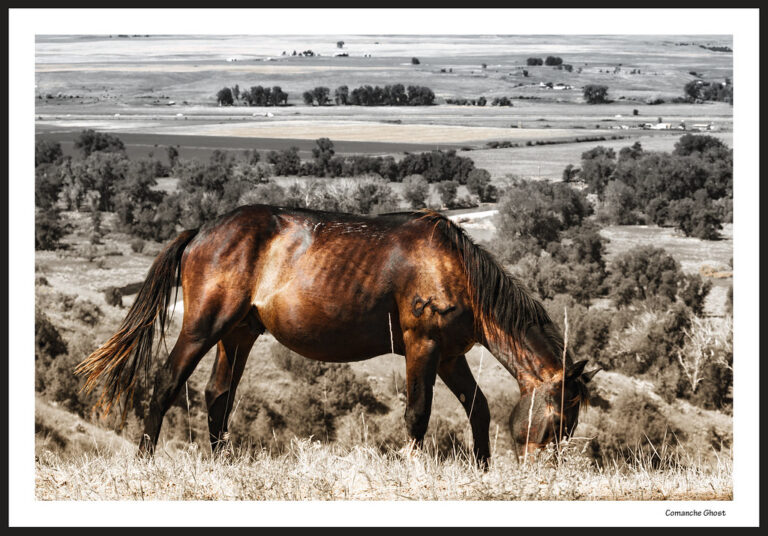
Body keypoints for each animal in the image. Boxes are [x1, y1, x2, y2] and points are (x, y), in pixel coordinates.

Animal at [76, 204, 599, 466]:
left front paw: (482, 470)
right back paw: (146, 462)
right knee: (167, 383)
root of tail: (202, 231)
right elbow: (417, 414)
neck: (455, 269)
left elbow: (479, 409)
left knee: (218, 395)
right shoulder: (423, 347)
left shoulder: (451, 356)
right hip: (205, 326)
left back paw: (223, 464)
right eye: (559, 418)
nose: (545, 471)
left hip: (239, 334)